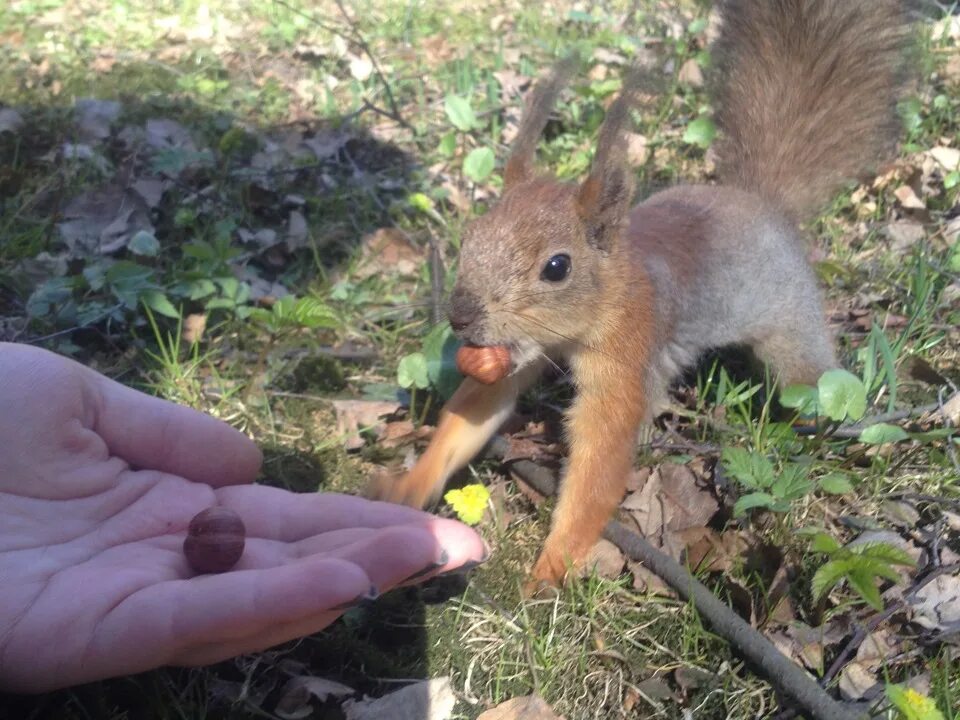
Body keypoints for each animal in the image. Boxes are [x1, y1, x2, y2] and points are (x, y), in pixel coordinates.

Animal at [374, 0, 908, 592]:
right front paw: (406, 487)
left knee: (809, 379)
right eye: (469, 236)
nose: (461, 317)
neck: (608, 294)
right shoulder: (523, 351)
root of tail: (760, 201)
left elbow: (601, 453)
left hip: (795, 335)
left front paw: (550, 570)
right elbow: (482, 406)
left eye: (557, 267)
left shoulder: (625, 354)